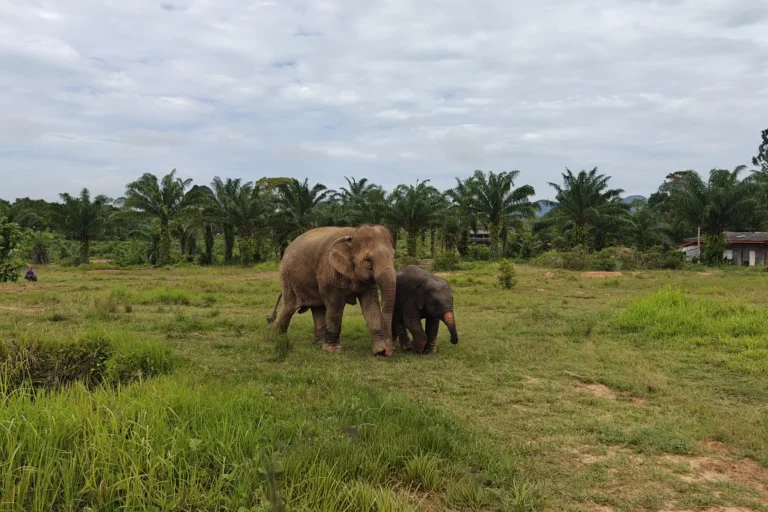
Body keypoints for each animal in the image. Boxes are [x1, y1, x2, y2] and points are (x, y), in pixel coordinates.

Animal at [266, 225, 397, 356]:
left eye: (393, 256)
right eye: (368, 261)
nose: (389, 351)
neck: (353, 232)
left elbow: (371, 307)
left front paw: (380, 350)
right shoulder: (330, 273)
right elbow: (335, 305)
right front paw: (332, 350)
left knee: (317, 308)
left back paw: (319, 343)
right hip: (287, 277)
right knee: (289, 308)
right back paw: (276, 338)